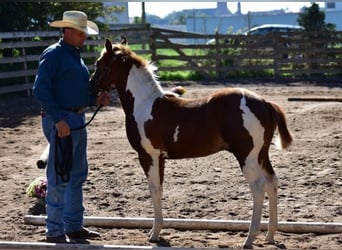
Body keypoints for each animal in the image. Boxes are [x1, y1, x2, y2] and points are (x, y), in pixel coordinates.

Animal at [89, 39, 292, 248]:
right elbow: (159, 189)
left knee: (259, 188)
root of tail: (264, 102)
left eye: (100, 63)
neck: (144, 104)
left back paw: (250, 238)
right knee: (272, 183)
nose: (92, 88)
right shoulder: (160, 158)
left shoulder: (148, 155)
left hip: (247, 157)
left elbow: (154, 190)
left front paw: (155, 233)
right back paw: (270, 235)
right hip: (261, 155)